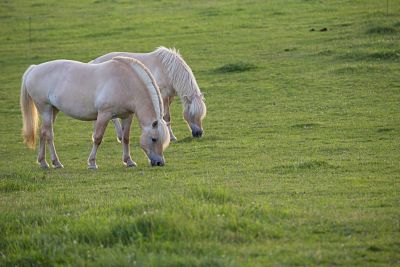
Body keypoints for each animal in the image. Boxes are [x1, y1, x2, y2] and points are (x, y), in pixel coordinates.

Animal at [19, 56, 170, 170]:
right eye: (154, 139)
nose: (159, 163)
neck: (125, 83)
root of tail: (34, 69)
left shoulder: (127, 116)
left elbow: (125, 138)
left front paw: (129, 161)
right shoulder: (104, 115)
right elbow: (97, 138)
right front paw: (92, 163)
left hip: (53, 110)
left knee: (43, 133)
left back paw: (43, 162)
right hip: (45, 109)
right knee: (49, 135)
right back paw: (56, 163)